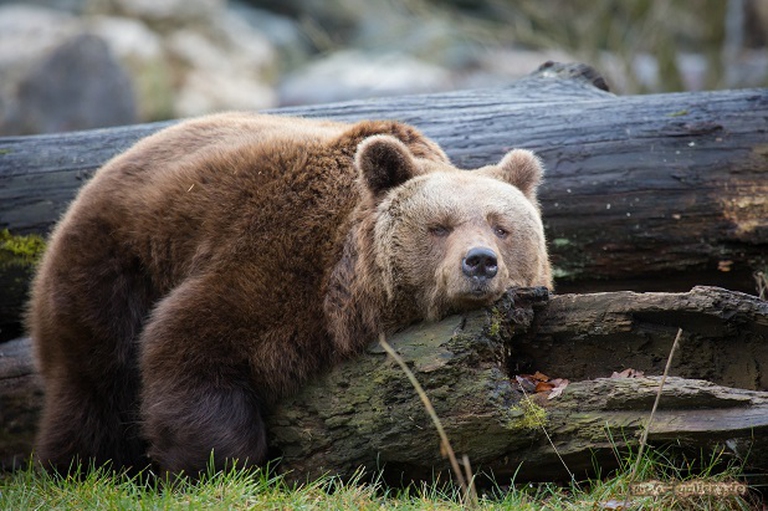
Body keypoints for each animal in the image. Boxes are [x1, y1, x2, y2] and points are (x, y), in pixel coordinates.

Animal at [27, 112, 552, 476]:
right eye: (439, 226)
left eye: (501, 227)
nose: (479, 261)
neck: (349, 289)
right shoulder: (274, 260)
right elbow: (188, 342)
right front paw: (215, 463)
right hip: (114, 263)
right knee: (94, 379)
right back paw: (77, 467)